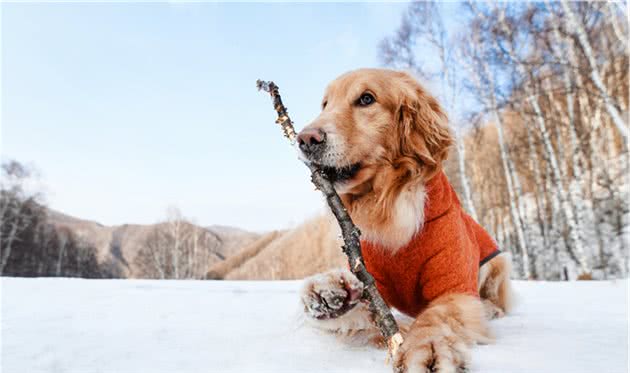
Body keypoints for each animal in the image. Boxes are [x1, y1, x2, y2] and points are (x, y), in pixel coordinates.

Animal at [300, 68, 512, 370]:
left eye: (366, 99)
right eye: (325, 104)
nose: (305, 139)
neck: (387, 202)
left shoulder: (455, 285)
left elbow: (437, 316)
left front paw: (428, 347)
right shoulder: (372, 279)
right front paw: (330, 294)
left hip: (498, 262)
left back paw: (490, 308)